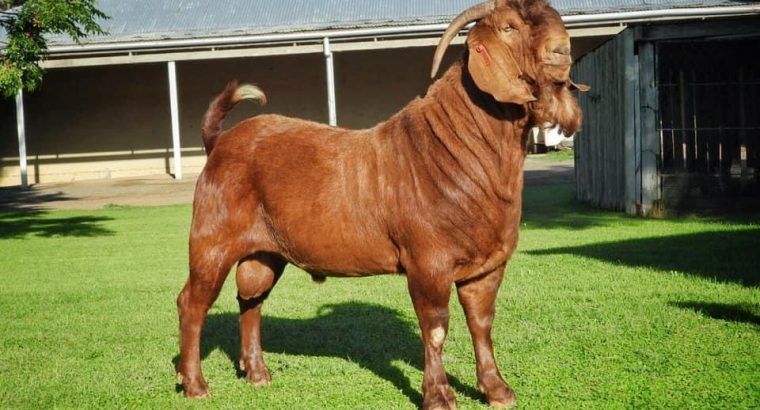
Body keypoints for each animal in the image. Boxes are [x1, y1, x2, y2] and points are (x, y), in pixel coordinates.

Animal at [176, 0, 585, 408]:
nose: (562, 51)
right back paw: (194, 383)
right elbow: (436, 327)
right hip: (211, 239)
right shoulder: (428, 262)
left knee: (251, 298)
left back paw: (258, 374)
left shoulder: (488, 266)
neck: (460, 147)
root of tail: (219, 142)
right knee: (192, 303)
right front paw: (439, 396)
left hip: (264, 253)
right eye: (508, 27)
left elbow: (481, 323)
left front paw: (497, 389)